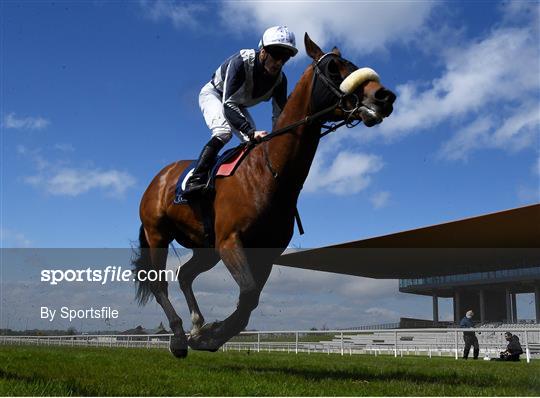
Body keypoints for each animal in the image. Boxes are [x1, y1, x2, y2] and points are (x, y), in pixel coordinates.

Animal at [132, 33, 394, 358]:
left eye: (354, 65)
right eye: (334, 68)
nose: (384, 96)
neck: (269, 173)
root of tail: (158, 178)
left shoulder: (264, 252)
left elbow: (251, 299)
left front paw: (209, 335)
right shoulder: (230, 240)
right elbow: (247, 293)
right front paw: (211, 335)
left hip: (205, 247)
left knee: (185, 275)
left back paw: (196, 326)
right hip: (158, 234)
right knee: (160, 285)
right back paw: (180, 336)